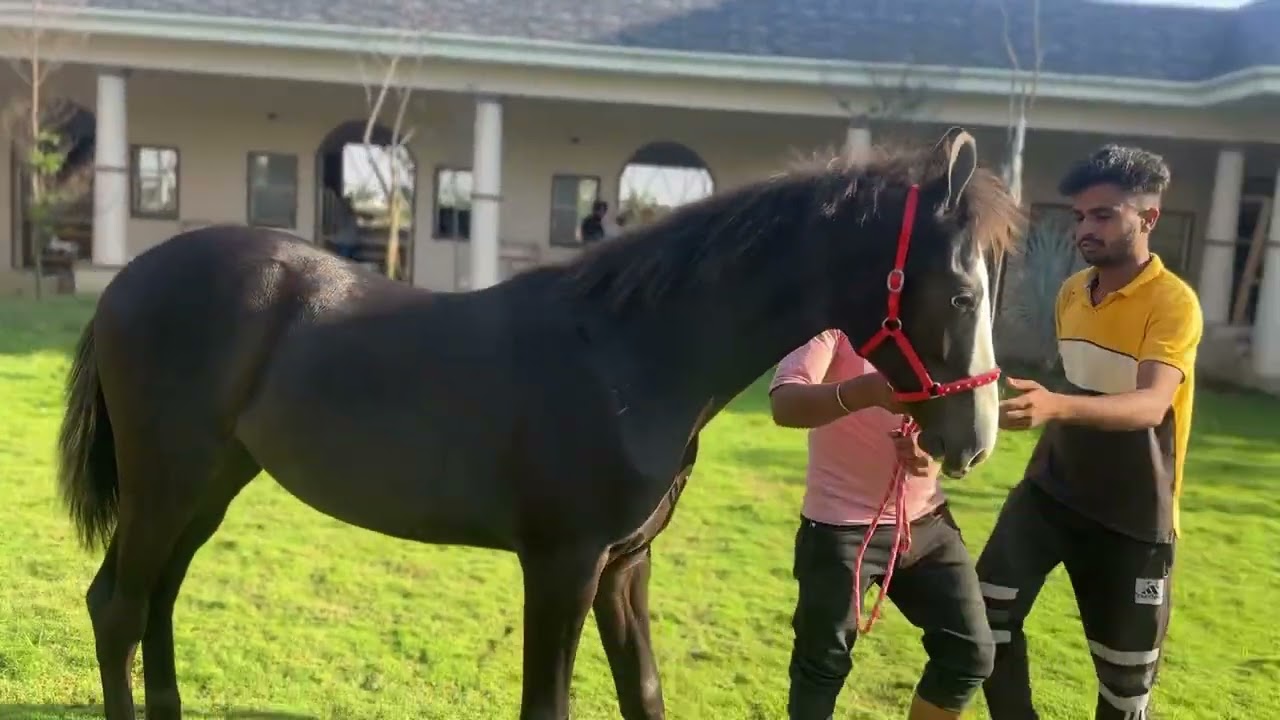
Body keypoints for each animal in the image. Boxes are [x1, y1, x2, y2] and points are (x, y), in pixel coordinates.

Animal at [54, 127, 1023, 720]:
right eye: (961, 291)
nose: (972, 440)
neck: (630, 351)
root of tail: (127, 279)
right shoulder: (562, 566)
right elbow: (546, 705)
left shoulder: (624, 567)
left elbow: (645, 694)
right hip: (166, 484)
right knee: (117, 606)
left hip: (208, 487)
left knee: (156, 600)